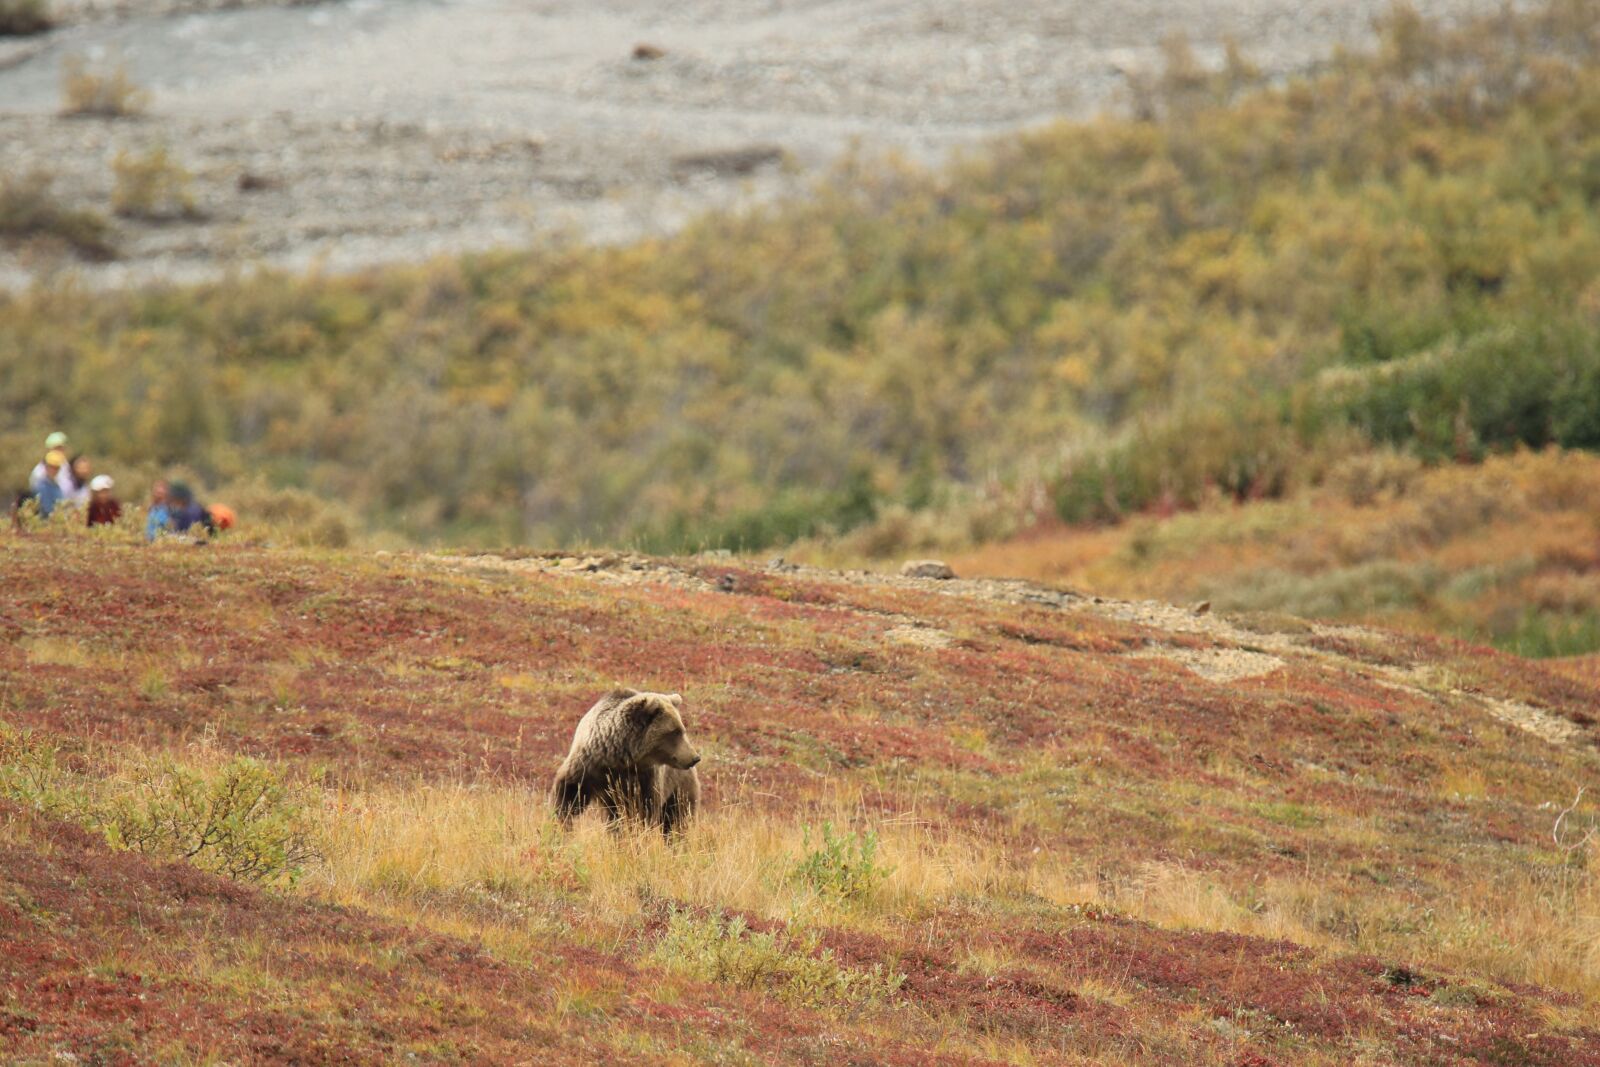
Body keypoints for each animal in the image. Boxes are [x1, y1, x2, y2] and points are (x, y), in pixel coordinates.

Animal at [550, 688, 702, 835]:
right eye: (674, 732)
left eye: (682, 730)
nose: (695, 758)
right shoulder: (588, 765)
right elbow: (568, 794)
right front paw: (561, 823)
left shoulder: (644, 778)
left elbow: (644, 810)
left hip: (679, 786)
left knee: (677, 816)